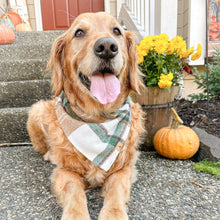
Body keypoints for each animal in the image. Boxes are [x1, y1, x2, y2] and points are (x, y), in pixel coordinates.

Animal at [27, 12, 144, 220]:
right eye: (79, 32)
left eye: (117, 31)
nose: (107, 47)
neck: (98, 119)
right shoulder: (66, 171)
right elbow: (74, 191)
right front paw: (76, 215)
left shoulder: (124, 168)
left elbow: (116, 191)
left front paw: (113, 214)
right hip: (37, 110)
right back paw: (49, 154)